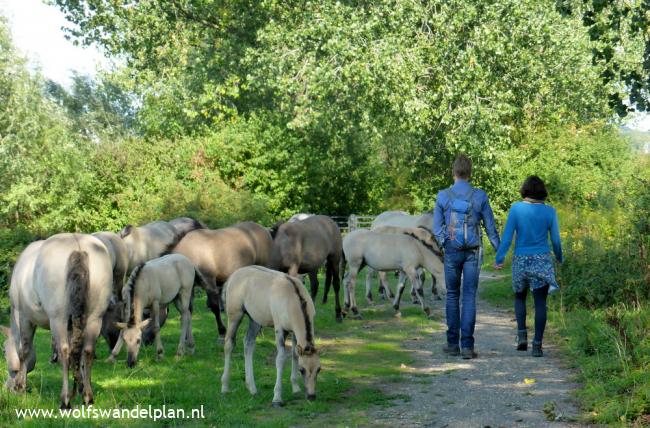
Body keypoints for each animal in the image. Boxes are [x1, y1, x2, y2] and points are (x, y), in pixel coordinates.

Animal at [0, 234, 111, 408]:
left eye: (4, 351)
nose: (8, 387)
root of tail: (78, 248)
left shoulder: (23, 317)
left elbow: (24, 351)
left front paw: (21, 386)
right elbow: (78, 357)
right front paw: (81, 385)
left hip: (58, 319)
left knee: (64, 352)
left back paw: (65, 400)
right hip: (94, 319)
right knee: (87, 351)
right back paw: (87, 396)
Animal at [221, 266, 320, 406]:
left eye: (319, 369)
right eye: (302, 370)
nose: (311, 396)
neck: (293, 299)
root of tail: (232, 276)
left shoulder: (294, 332)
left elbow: (295, 355)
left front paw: (295, 388)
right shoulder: (280, 329)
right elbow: (280, 358)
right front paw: (277, 397)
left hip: (255, 320)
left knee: (248, 344)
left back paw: (252, 388)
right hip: (235, 315)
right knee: (229, 344)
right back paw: (225, 387)